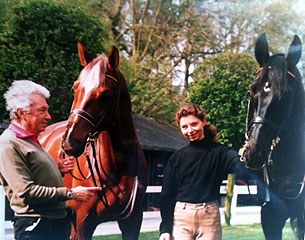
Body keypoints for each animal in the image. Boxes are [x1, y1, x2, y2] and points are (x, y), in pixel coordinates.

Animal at [38, 43, 148, 240]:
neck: (118, 165)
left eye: (105, 95)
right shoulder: (82, 223)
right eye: (75, 88)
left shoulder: (133, 222)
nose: (69, 143)